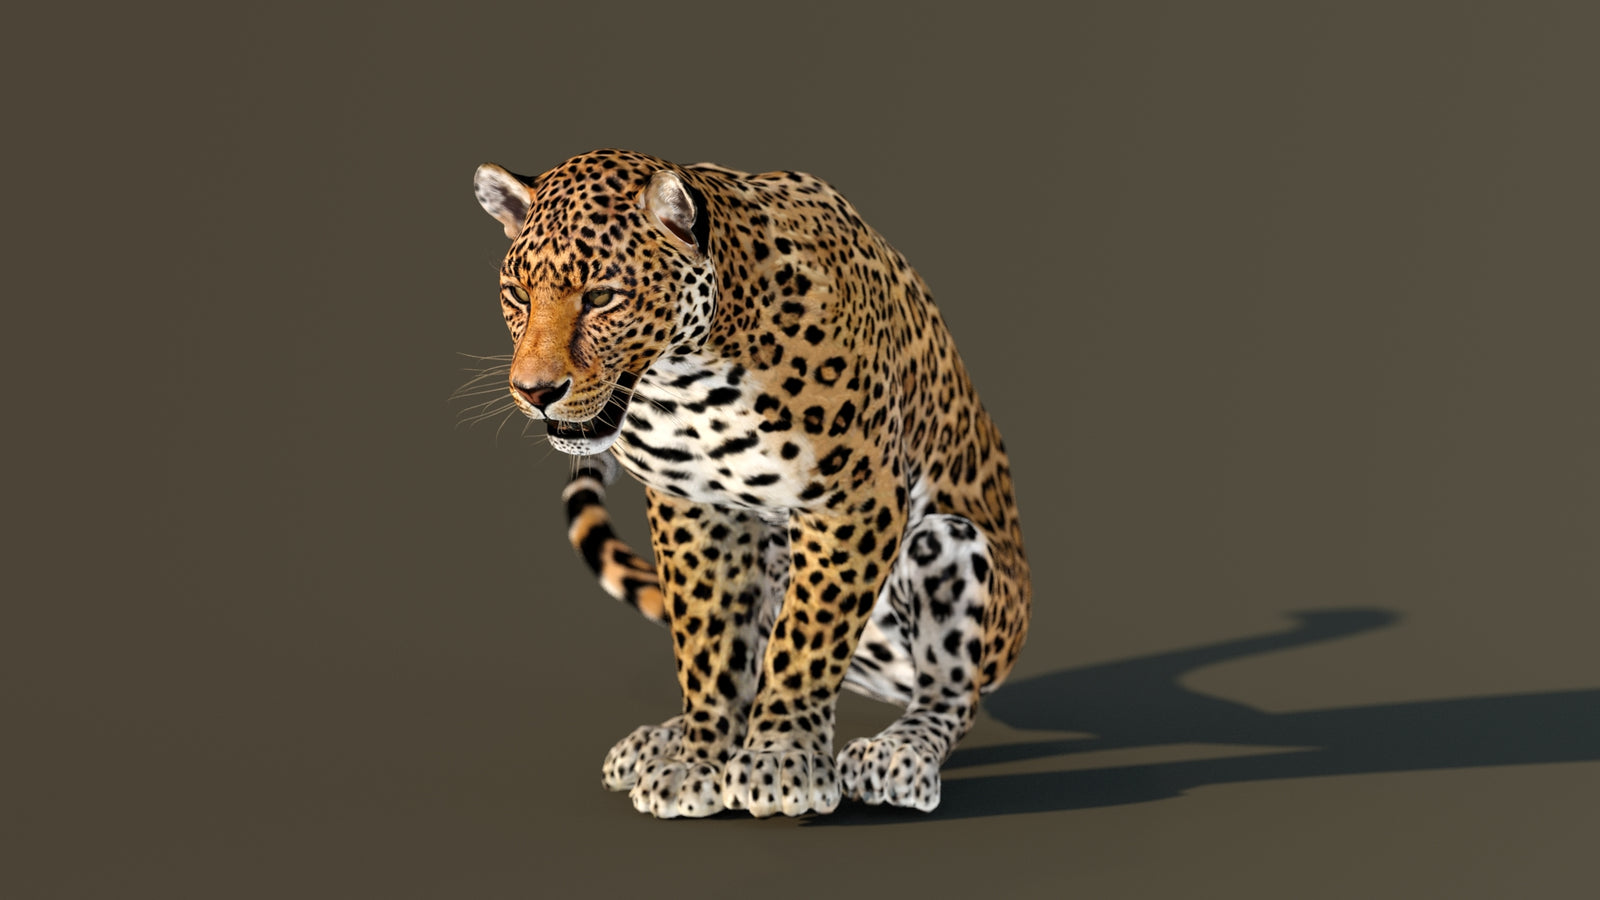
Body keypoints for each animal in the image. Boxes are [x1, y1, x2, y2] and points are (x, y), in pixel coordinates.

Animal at [470, 149, 1031, 817]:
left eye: (602, 296)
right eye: (516, 294)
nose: (534, 392)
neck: (688, 382)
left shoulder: (856, 498)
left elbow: (807, 635)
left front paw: (781, 758)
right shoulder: (694, 507)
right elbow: (707, 640)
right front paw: (697, 760)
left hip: (949, 545)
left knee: (950, 689)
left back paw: (899, 753)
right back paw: (660, 741)